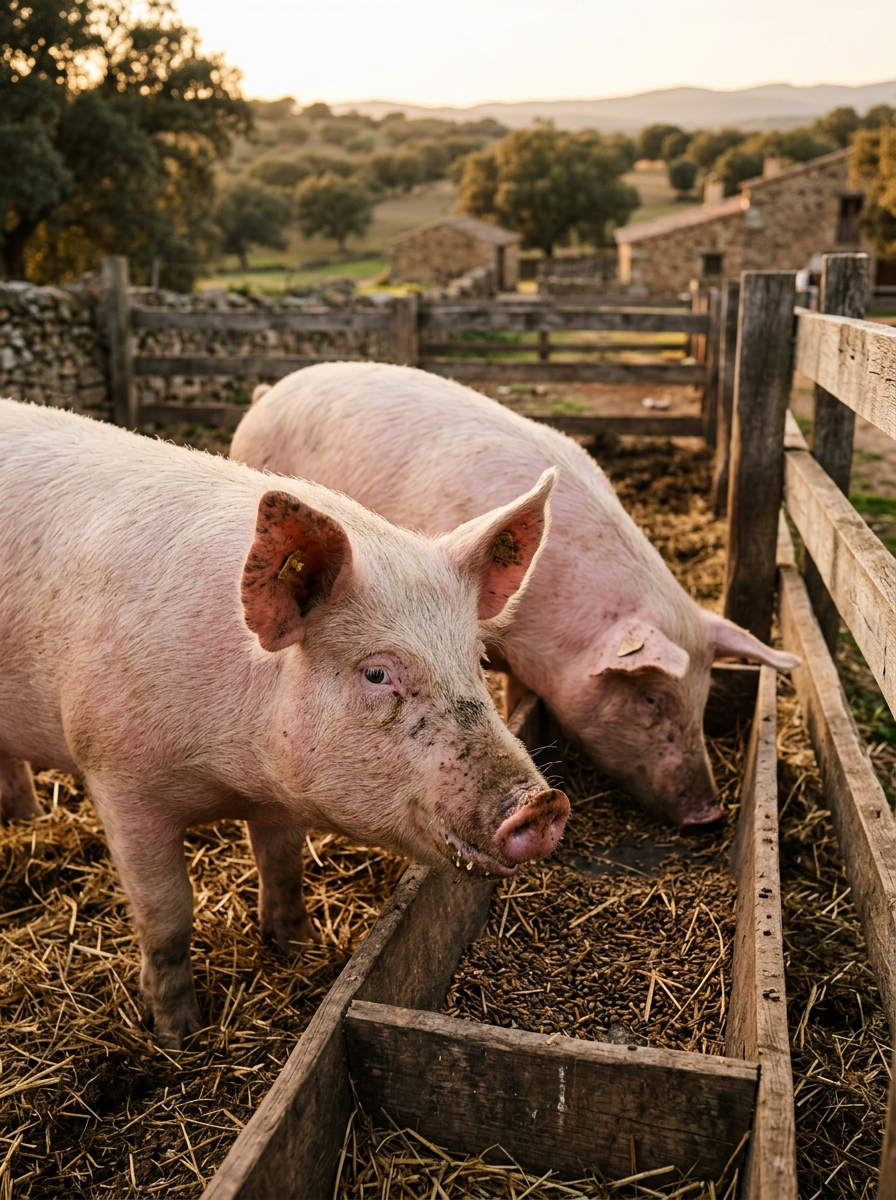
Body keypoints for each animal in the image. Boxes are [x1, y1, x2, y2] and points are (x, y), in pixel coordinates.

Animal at [0, 399, 568, 1047]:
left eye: (475, 659)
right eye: (377, 674)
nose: (544, 804)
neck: (228, 771)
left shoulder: (279, 794)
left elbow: (283, 863)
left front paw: (299, 947)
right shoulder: (115, 776)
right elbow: (166, 913)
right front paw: (178, 1035)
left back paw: (25, 818)